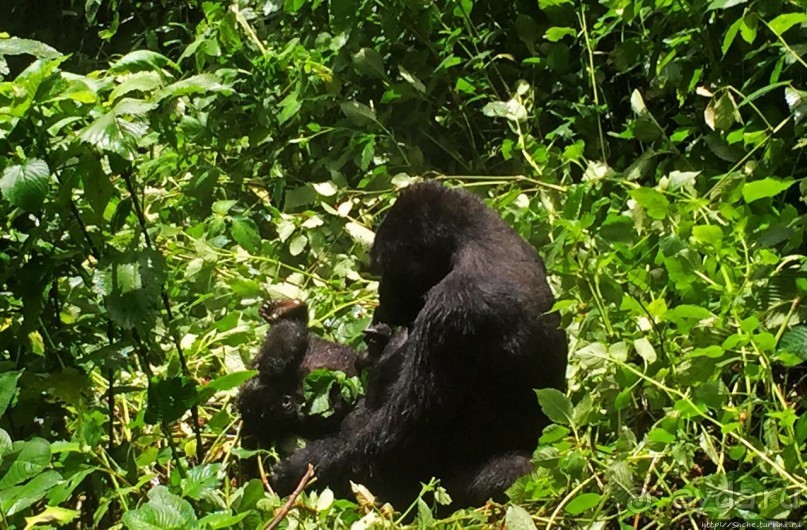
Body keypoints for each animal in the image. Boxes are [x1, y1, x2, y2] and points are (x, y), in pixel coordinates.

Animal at [272, 183, 568, 508]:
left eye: (388, 271)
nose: (382, 297)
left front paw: (300, 469)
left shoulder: (453, 311)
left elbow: (400, 440)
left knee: (512, 469)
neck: (474, 241)